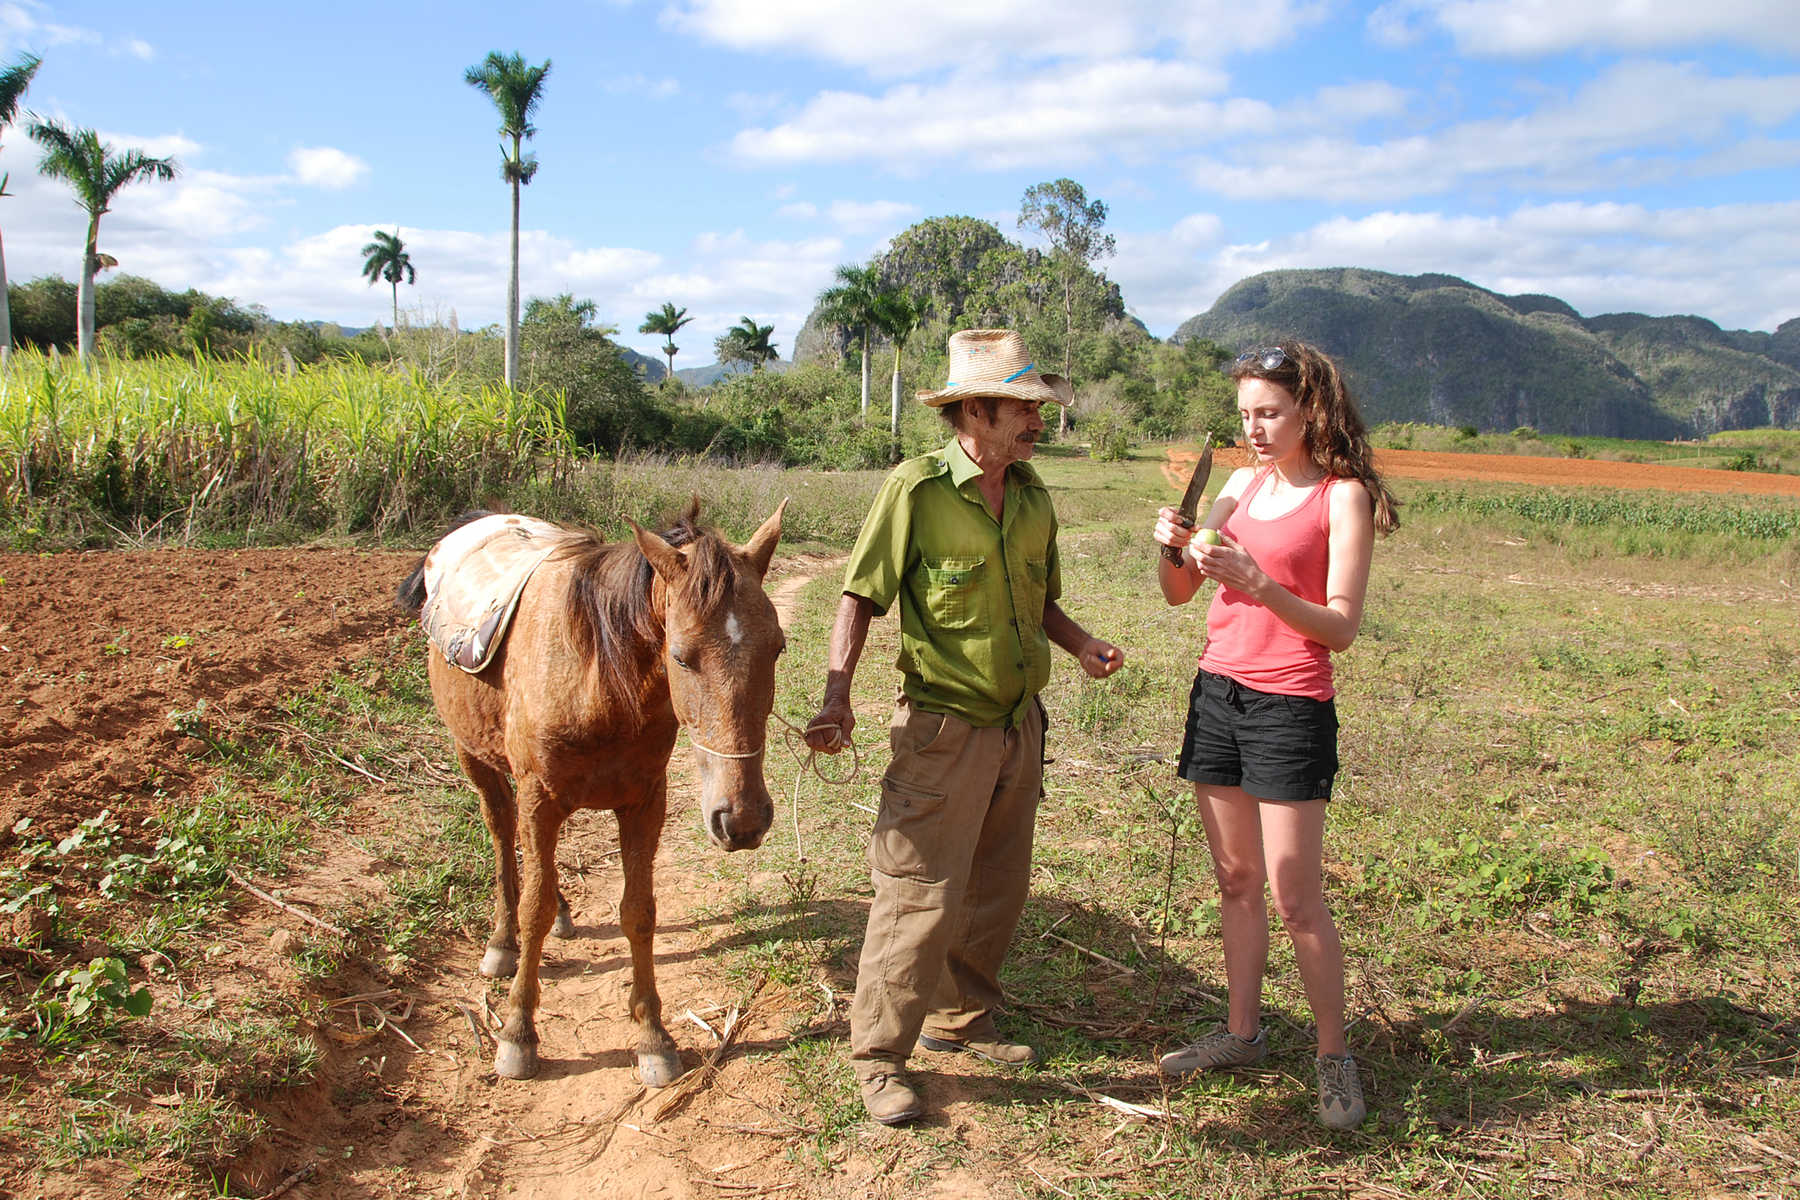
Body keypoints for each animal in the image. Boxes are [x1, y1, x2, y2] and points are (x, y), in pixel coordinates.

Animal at [397, 503, 784, 1086]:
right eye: (681, 656)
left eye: (777, 648)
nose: (741, 821)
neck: (594, 671)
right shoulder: (539, 797)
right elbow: (531, 906)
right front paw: (517, 1031)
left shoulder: (643, 802)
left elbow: (639, 912)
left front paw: (652, 1036)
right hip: (475, 758)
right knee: (502, 834)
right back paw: (501, 942)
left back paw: (561, 913)